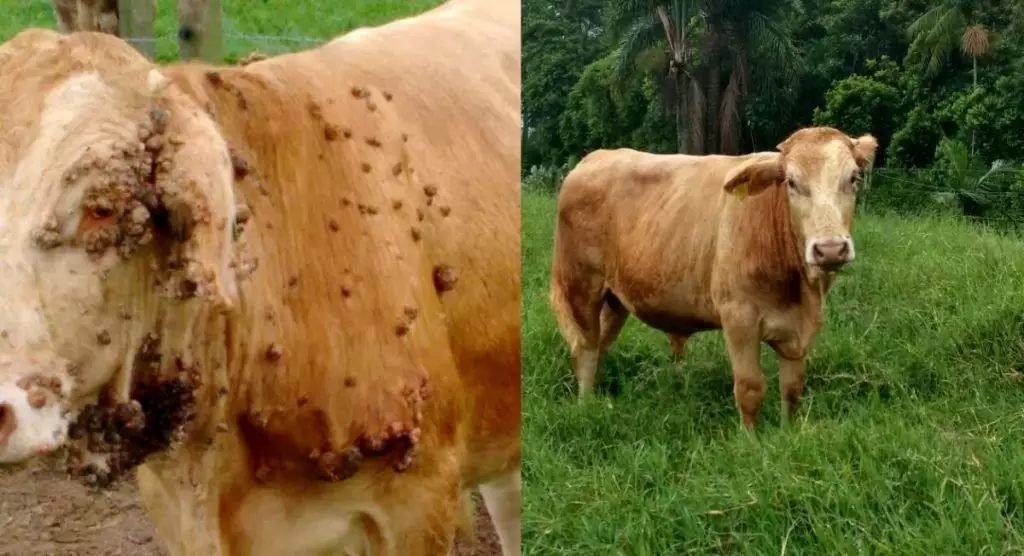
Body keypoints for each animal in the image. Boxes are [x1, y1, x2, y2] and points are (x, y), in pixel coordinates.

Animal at [550, 127, 877, 429]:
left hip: (616, 299)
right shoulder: (739, 319)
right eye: (791, 182)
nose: (830, 248)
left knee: (601, 345)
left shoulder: (798, 332)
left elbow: (792, 390)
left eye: (853, 178)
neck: (800, 290)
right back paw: (585, 406)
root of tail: (595, 158)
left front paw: (788, 432)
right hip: (581, 287)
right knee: (586, 348)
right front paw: (751, 442)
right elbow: (750, 389)